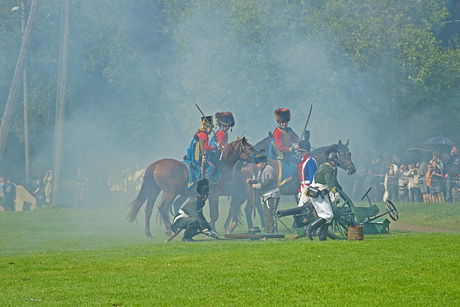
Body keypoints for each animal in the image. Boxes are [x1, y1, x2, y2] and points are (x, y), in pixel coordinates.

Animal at [127, 138, 256, 238]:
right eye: (248, 148)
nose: (259, 157)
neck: (222, 165)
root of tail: (156, 164)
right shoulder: (215, 195)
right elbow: (215, 214)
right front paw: (212, 230)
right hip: (170, 193)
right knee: (162, 207)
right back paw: (168, 229)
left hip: (154, 190)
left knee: (148, 209)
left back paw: (149, 233)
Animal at [223, 138, 356, 233]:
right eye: (343, 154)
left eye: (350, 153)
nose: (352, 169)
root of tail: (244, 164)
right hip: (251, 194)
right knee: (248, 209)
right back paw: (252, 229)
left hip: (244, 194)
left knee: (235, 207)